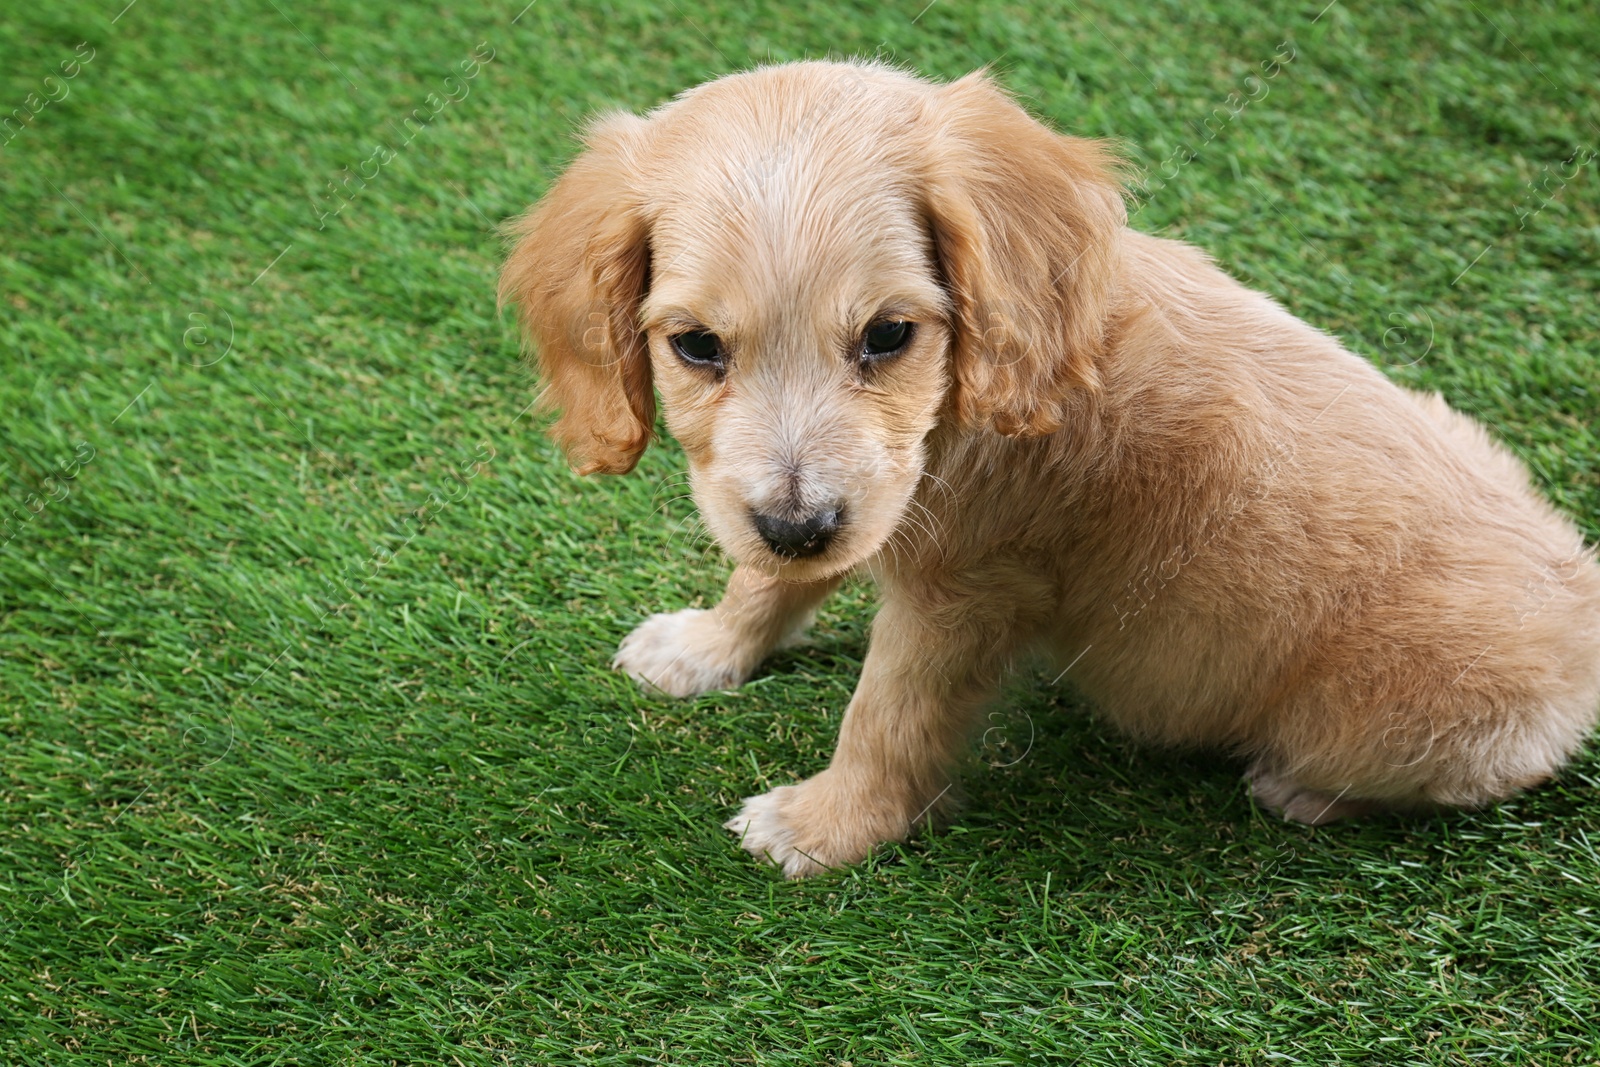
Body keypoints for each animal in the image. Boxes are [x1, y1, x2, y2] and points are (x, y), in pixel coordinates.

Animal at [499, 56, 1600, 876]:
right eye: (695, 346)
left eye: (889, 335)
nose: (801, 529)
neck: (975, 395)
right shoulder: (846, 501)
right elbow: (764, 573)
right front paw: (711, 644)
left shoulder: (967, 589)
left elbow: (887, 713)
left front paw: (827, 824)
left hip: (1397, 712)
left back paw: (1303, 787)